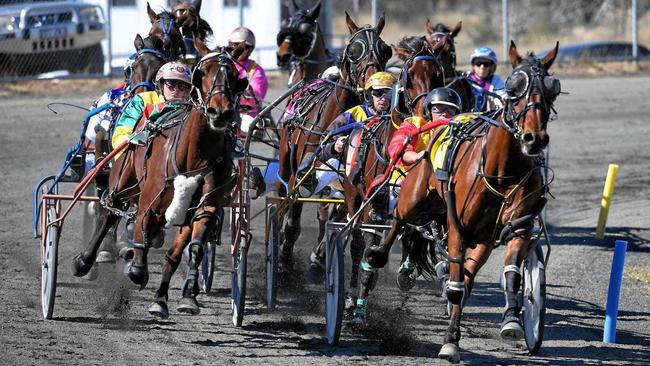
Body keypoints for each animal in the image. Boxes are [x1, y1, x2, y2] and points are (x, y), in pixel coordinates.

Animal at [274, 12, 390, 280]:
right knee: (283, 200)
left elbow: (339, 216)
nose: (374, 85)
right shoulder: (302, 174)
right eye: (354, 50)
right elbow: (294, 218)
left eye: (385, 50)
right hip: (285, 162)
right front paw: (283, 261)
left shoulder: (347, 179)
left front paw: (318, 258)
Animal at [364, 40, 556, 364]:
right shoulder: (458, 228)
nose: (534, 138)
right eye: (514, 87)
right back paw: (376, 256)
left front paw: (513, 320)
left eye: (553, 88)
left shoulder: (502, 232)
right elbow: (456, 287)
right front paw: (450, 342)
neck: (500, 170)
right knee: (399, 220)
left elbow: (505, 274)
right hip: (413, 197)